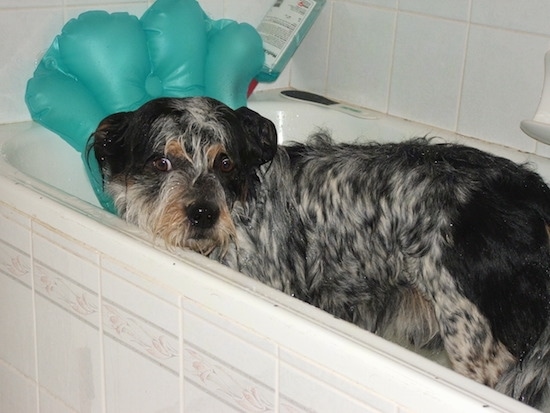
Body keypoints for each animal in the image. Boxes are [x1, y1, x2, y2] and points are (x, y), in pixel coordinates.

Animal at [90, 95, 550, 408]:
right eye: (161, 162)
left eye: (225, 163)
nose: (203, 213)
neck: (245, 213)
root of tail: (533, 195)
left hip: (477, 343)